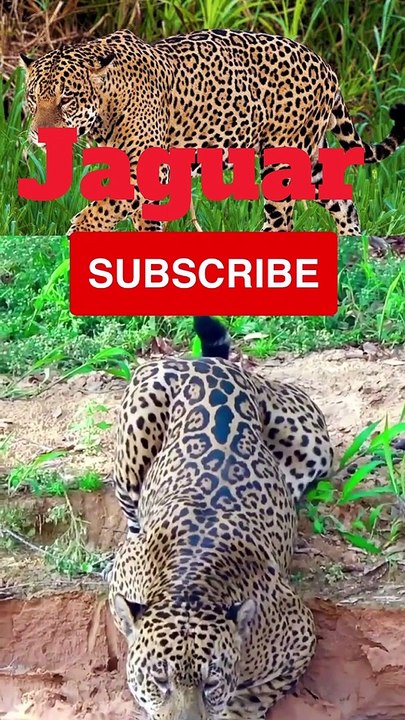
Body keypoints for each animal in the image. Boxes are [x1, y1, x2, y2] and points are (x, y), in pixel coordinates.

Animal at [21, 28, 404, 244]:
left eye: (66, 99)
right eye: (33, 98)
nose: (40, 136)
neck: (105, 108)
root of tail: (324, 64)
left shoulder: (145, 169)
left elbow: (104, 208)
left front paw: (80, 231)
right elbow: (143, 219)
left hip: (282, 160)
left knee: (282, 220)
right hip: (311, 159)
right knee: (344, 202)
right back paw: (353, 246)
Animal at [107, 315, 335, 720]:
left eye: (211, 683)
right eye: (159, 680)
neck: (190, 590)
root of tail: (211, 363)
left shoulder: (301, 636)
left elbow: (250, 699)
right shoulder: (123, 573)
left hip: (315, 447)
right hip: (134, 444)